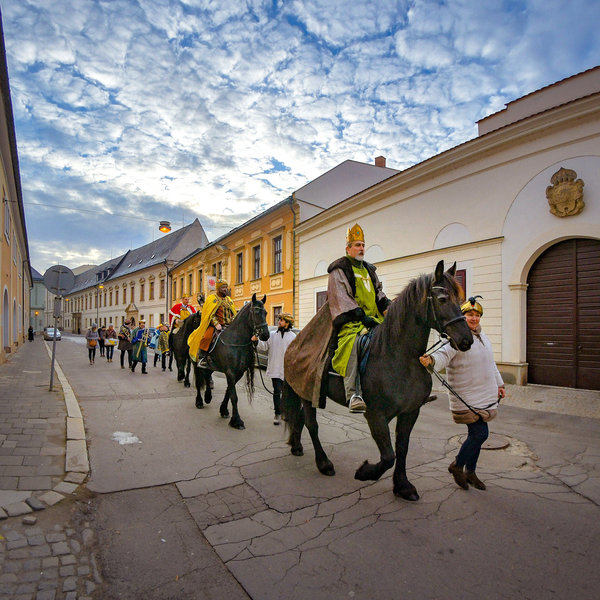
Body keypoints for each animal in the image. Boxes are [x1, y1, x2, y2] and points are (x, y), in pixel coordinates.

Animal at [192, 292, 270, 428]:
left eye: (265, 312)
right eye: (256, 311)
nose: (265, 335)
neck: (236, 340)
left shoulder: (238, 373)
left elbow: (229, 391)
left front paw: (224, 410)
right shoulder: (230, 372)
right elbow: (234, 396)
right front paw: (237, 420)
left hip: (211, 366)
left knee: (207, 376)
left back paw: (208, 396)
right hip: (196, 364)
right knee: (198, 382)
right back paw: (200, 401)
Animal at [282, 260, 474, 500]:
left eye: (460, 298)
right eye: (442, 299)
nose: (466, 340)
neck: (398, 356)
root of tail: (295, 342)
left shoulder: (410, 412)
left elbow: (401, 449)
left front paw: (403, 485)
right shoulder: (375, 415)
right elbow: (388, 456)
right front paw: (365, 472)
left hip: (308, 391)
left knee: (299, 418)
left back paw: (296, 446)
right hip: (309, 392)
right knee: (312, 424)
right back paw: (324, 463)